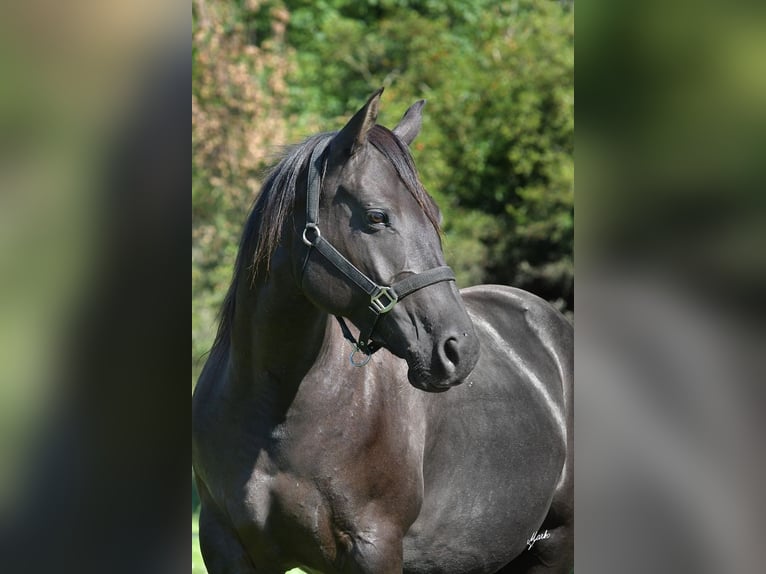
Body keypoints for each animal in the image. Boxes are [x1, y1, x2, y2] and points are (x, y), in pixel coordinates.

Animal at [195, 88, 572, 572]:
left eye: (435, 215)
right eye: (376, 217)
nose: (460, 349)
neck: (274, 410)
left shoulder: (374, 546)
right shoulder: (224, 544)